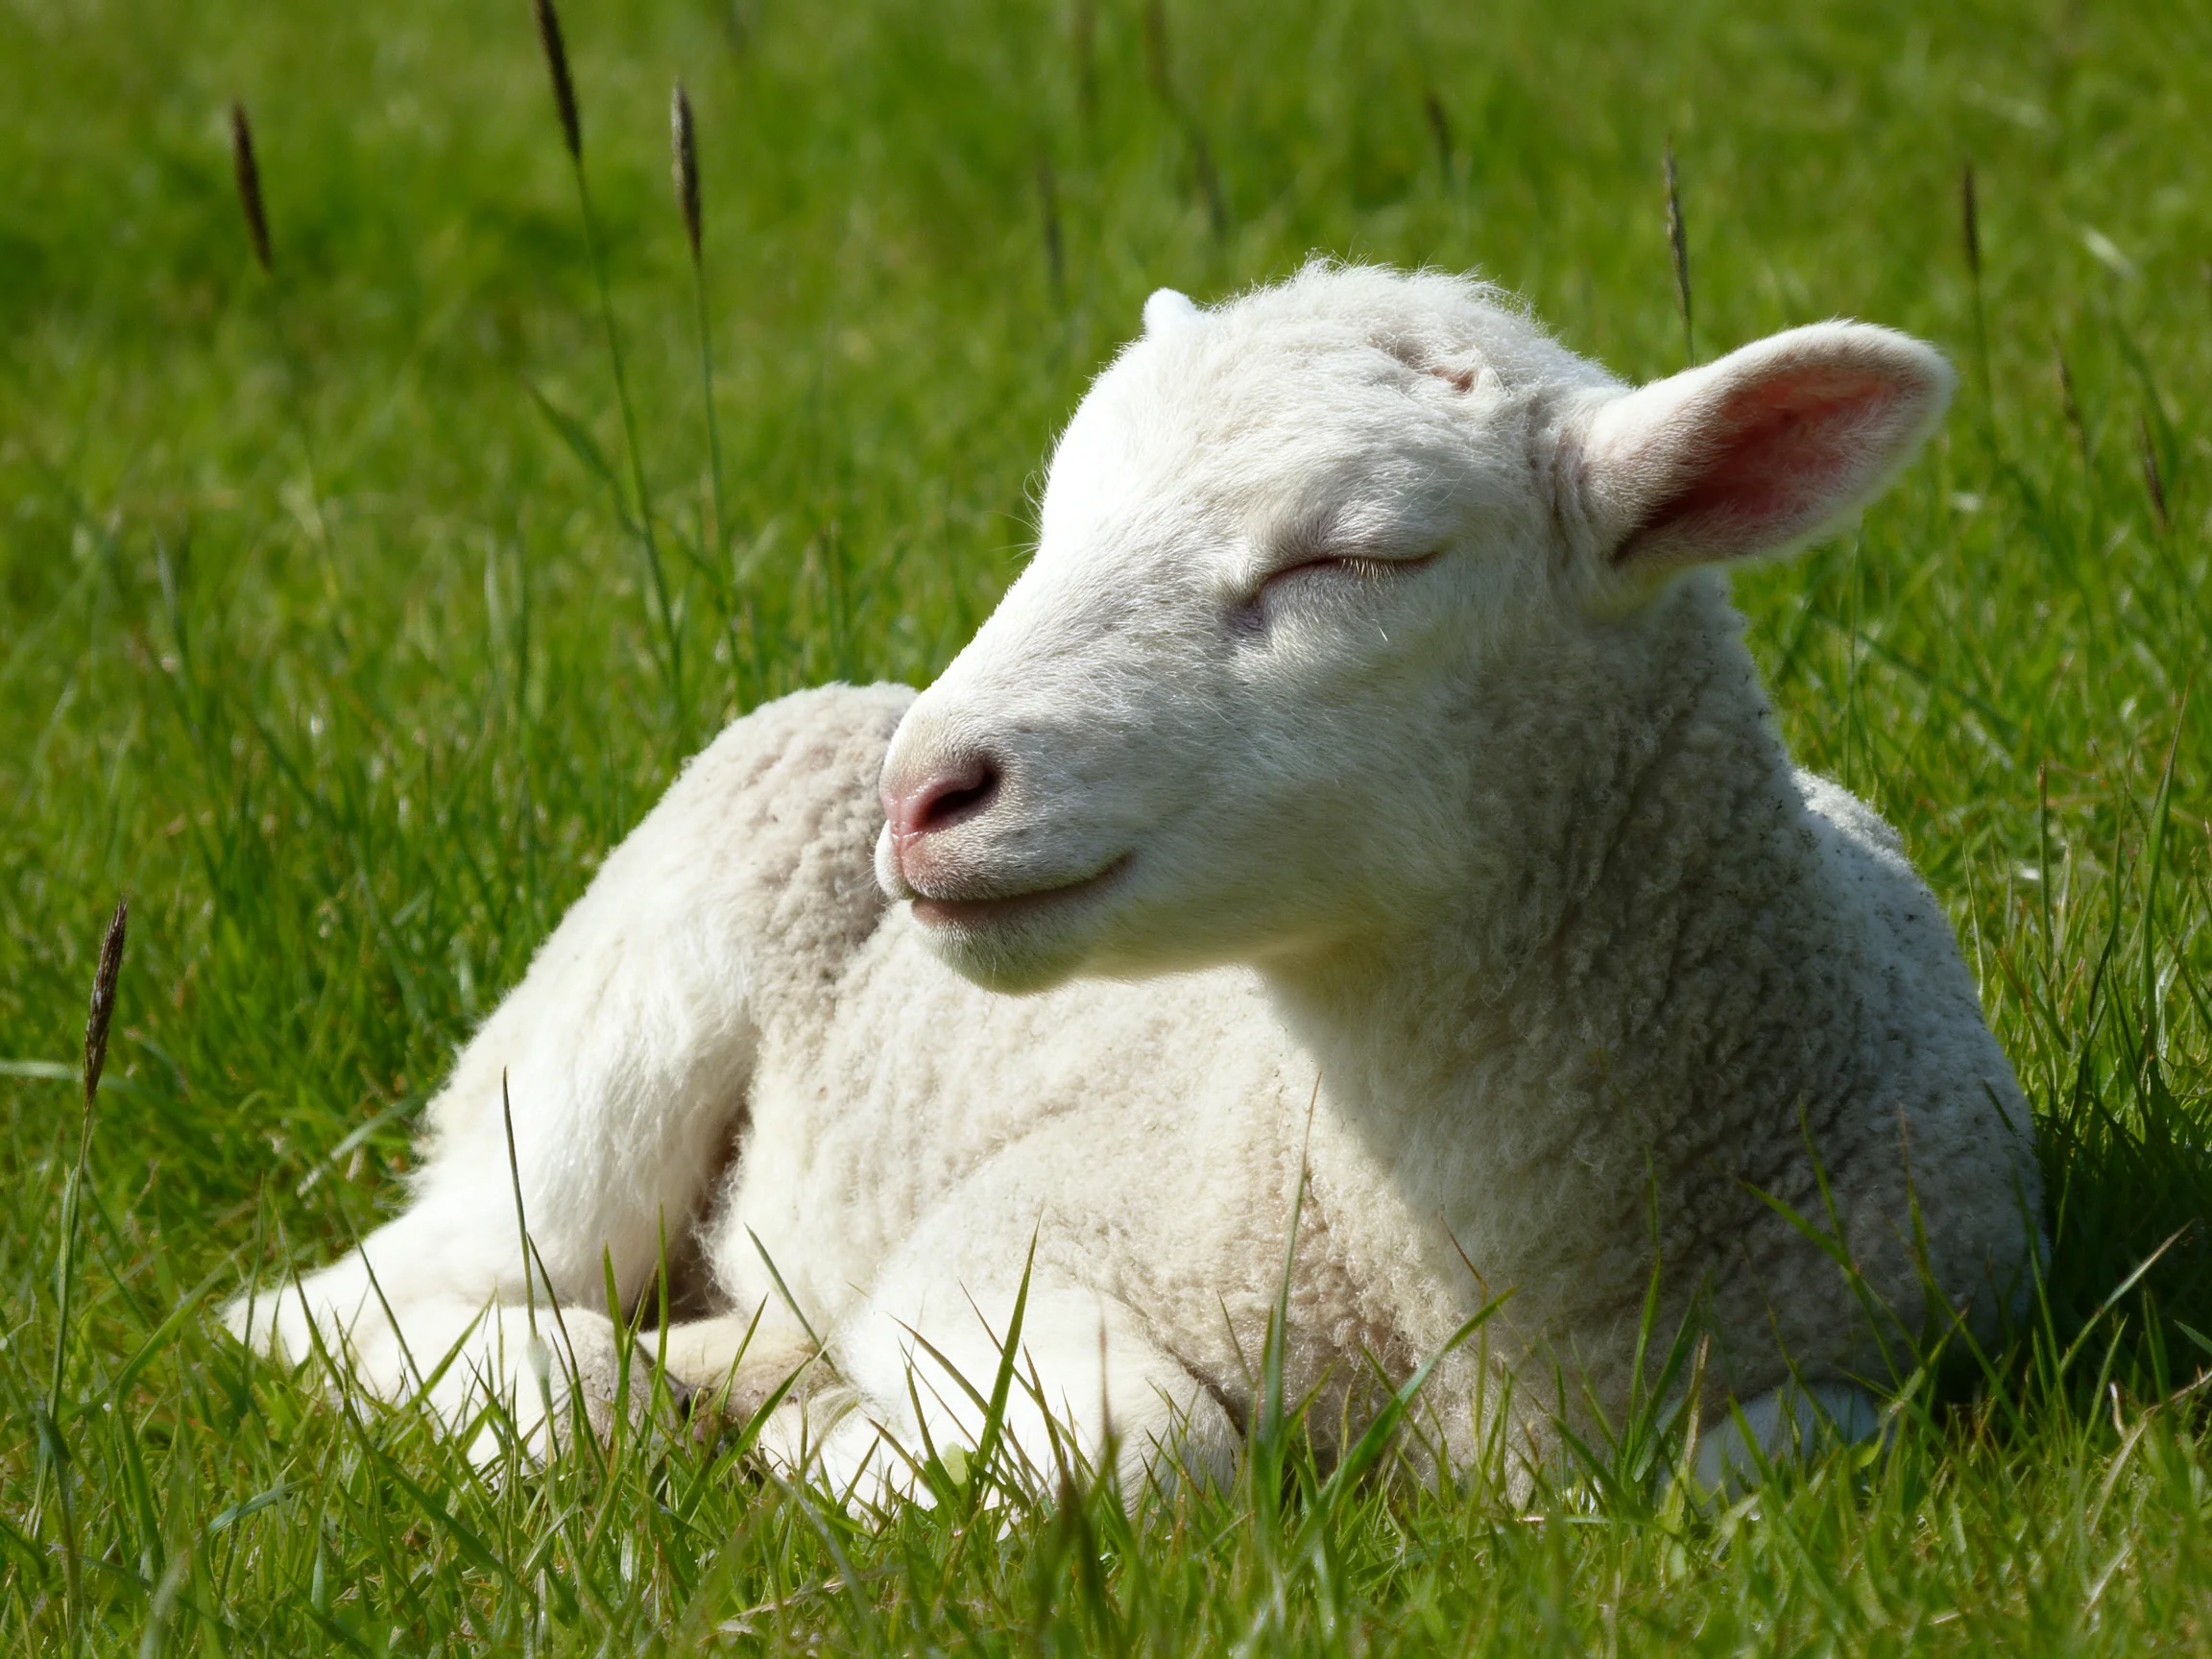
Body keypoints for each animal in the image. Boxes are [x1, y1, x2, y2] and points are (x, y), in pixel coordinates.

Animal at [228, 262, 2041, 1501]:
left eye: (1357, 556)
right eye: (1053, 518)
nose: (926, 795)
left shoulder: (1916, 1347)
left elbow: (1790, 1451)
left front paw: (801, 1415)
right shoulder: (1017, 1233)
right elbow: (1153, 1448)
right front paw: (836, 1452)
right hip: (592, 1061)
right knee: (335, 1306)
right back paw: (563, 1394)